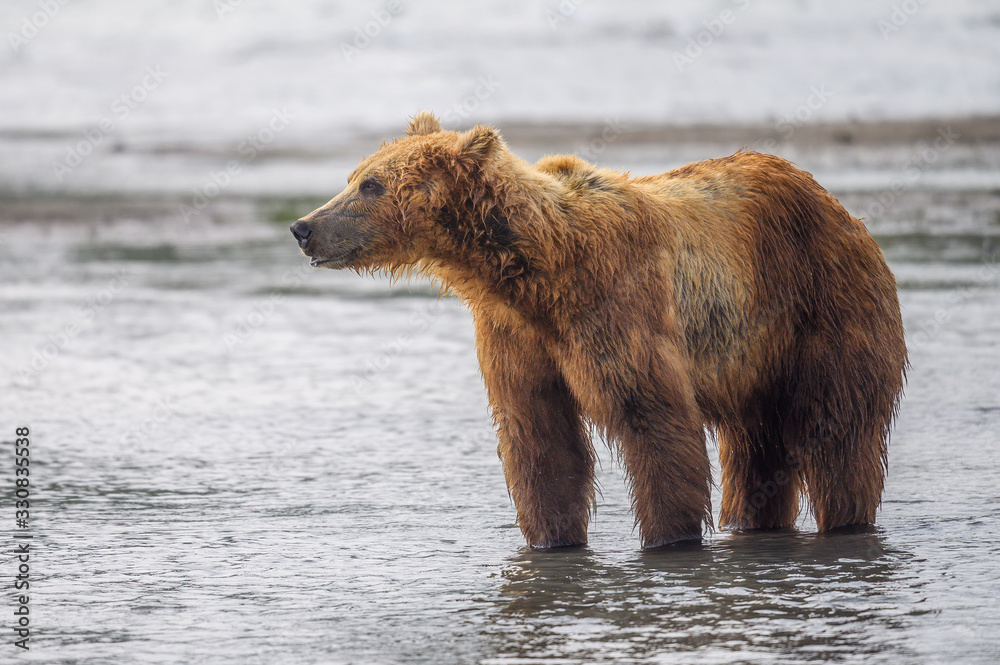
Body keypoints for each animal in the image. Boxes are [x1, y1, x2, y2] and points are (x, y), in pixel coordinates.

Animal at [290, 111, 907, 549]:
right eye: (353, 176)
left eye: (371, 185)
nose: (303, 227)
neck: (535, 270)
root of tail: (837, 205)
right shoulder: (517, 336)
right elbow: (539, 438)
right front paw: (551, 540)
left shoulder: (616, 306)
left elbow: (652, 421)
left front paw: (668, 539)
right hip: (753, 354)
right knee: (759, 449)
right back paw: (754, 524)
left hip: (822, 308)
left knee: (839, 435)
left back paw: (846, 522)